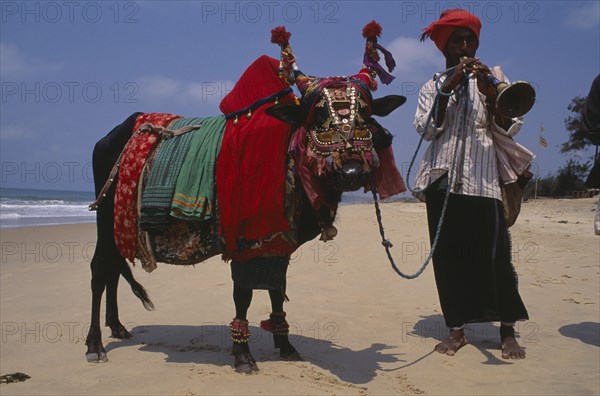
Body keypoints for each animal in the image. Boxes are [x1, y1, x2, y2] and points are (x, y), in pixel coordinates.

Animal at [86, 23, 406, 372]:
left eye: (365, 116)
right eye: (318, 117)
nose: (352, 172)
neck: (288, 159)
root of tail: (115, 134)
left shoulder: (278, 244)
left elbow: (277, 291)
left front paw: (285, 345)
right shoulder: (244, 243)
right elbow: (244, 294)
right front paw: (242, 354)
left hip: (119, 228)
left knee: (113, 269)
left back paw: (117, 327)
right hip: (106, 222)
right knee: (99, 270)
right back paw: (95, 344)